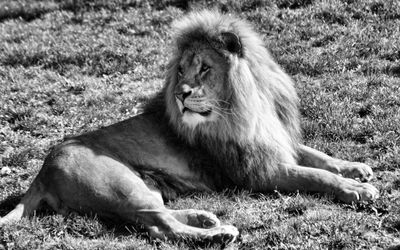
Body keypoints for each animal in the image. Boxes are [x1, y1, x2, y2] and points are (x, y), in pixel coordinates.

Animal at [0, 10, 380, 243]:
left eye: (205, 68)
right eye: (181, 70)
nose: (180, 94)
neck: (252, 104)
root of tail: (42, 171)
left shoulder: (273, 139)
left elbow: (315, 154)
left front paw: (355, 167)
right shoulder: (257, 171)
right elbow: (314, 175)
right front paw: (355, 189)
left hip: (141, 187)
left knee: (157, 217)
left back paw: (205, 218)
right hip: (118, 184)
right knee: (160, 225)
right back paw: (218, 233)